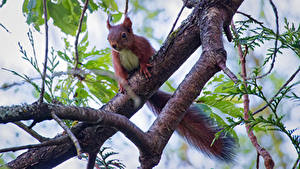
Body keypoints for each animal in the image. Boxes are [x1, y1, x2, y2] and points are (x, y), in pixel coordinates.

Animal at [106, 16, 236, 162]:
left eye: (124, 35)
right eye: (108, 37)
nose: (114, 45)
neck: (125, 50)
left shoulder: (142, 45)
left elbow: (145, 56)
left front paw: (144, 66)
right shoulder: (116, 59)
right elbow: (120, 73)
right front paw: (122, 85)